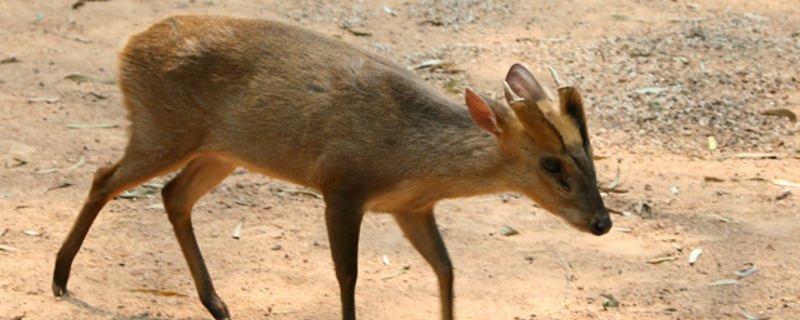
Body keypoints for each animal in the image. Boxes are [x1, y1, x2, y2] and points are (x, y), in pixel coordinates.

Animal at [51, 14, 612, 320]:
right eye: (551, 164)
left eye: (591, 157)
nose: (602, 222)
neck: (410, 157)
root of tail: (127, 47)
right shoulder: (342, 185)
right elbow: (348, 275)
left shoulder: (412, 207)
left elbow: (447, 269)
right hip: (162, 128)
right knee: (104, 177)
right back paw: (59, 279)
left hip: (221, 151)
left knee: (173, 196)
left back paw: (217, 304)